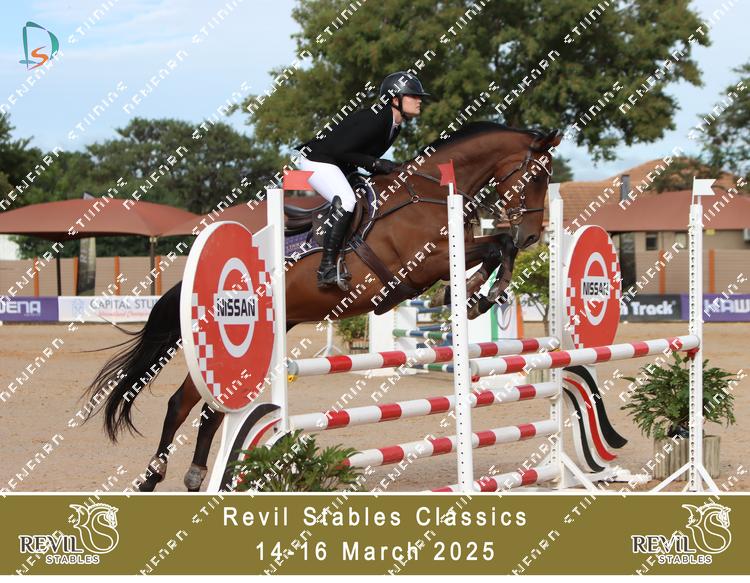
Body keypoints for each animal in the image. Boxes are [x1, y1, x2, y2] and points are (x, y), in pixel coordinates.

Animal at [83, 121, 562, 491]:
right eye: (536, 175)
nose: (532, 236)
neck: (426, 194)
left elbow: (497, 248)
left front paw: (480, 294)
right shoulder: (422, 265)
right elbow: (494, 246)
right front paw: (477, 293)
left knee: (201, 406)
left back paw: (191, 475)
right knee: (186, 405)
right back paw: (154, 476)